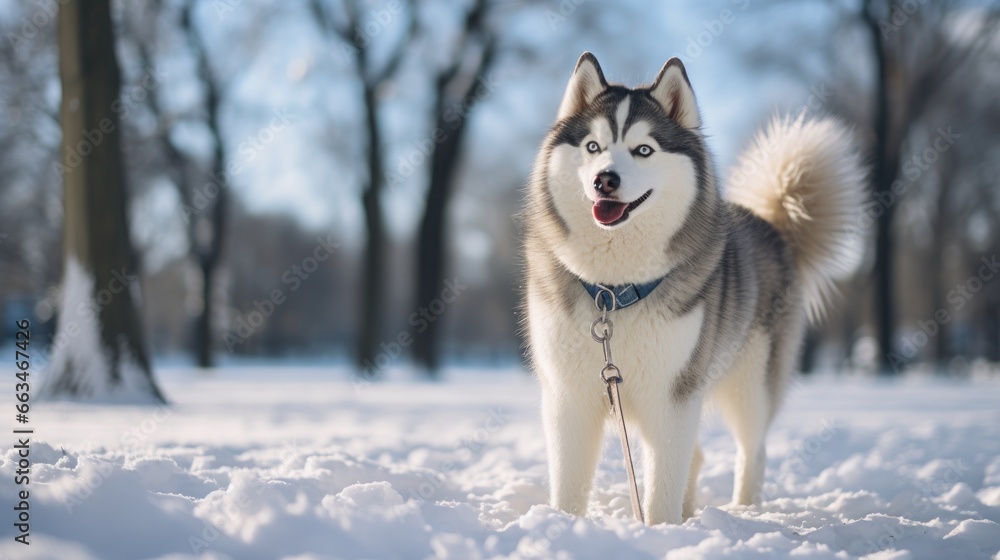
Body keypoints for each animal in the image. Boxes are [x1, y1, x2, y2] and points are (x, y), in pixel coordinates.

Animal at [524, 53, 868, 524]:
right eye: (593, 147)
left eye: (644, 149)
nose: (604, 180)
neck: (613, 291)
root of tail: (773, 225)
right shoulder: (568, 396)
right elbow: (569, 487)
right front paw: (563, 525)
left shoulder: (672, 396)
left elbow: (662, 485)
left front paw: (660, 529)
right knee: (699, 455)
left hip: (750, 385)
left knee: (752, 450)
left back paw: (744, 509)